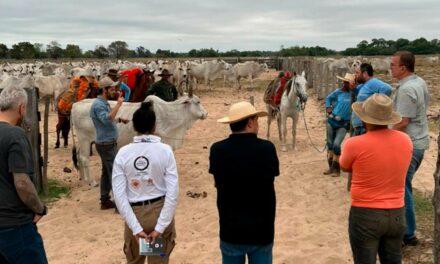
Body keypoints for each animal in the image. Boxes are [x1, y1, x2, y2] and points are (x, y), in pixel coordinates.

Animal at [71, 94, 209, 187]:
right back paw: (92, 181)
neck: (170, 114)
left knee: (79, 157)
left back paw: (83, 178)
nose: (206, 114)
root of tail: (75, 105)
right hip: (85, 140)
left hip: (82, 142)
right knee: (84, 158)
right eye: (198, 102)